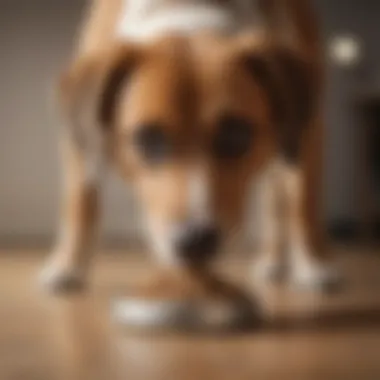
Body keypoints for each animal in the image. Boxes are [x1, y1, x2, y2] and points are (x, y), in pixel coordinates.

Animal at [40, 0, 338, 294]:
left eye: (237, 135)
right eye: (148, 138)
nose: (195, 241)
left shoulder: (308, 131)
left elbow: (303, 202)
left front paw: (313, 265)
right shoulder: (79, 137)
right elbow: (80, 202)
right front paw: (66, 266)